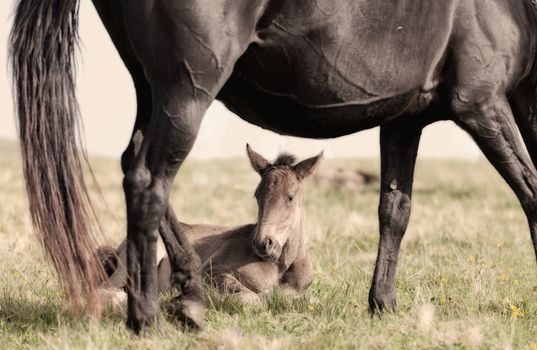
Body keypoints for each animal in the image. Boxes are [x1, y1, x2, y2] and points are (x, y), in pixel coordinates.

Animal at [98, 145, 320, 304]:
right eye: (257, 195)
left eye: (290, 197)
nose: (263, 243)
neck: (281, 265)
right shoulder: (211, 272)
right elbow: (251, 298)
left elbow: (309, 299)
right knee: (107, 288)